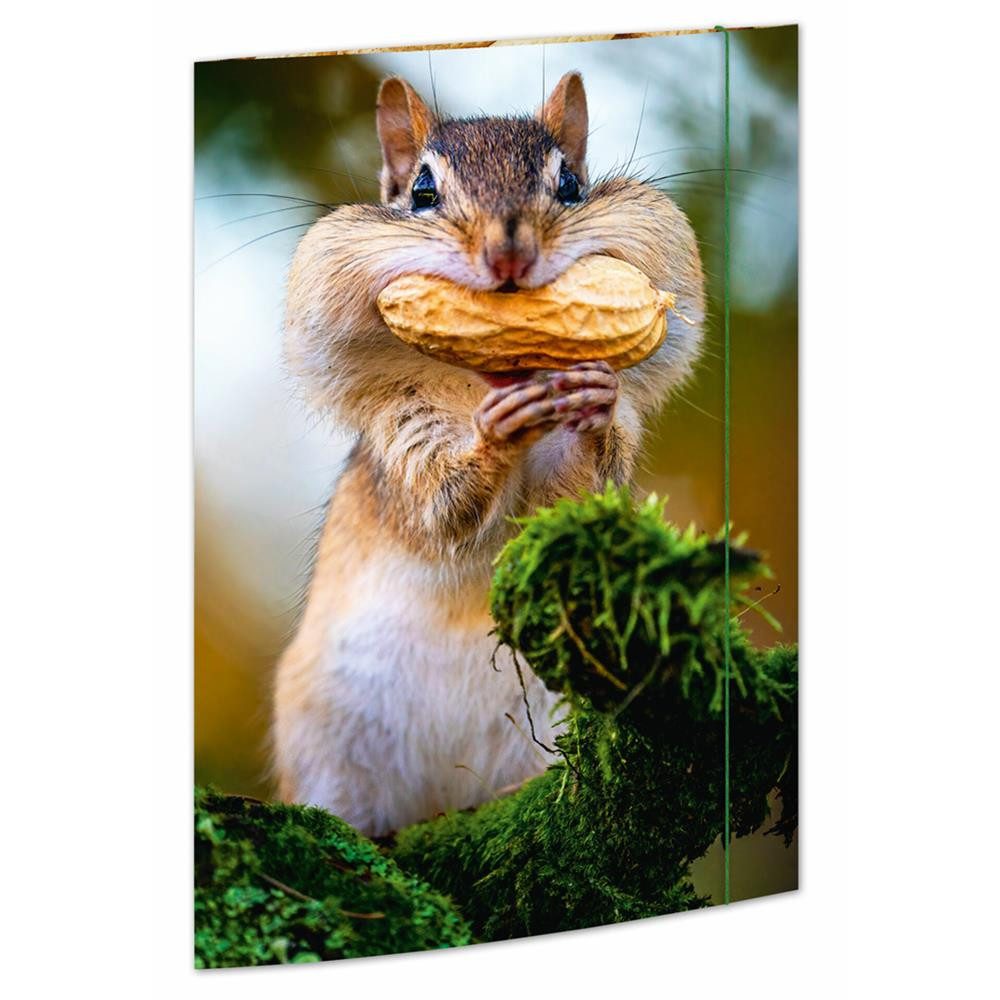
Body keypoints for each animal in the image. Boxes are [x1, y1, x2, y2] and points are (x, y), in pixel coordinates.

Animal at [273, 71, 705, 837]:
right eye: (421, 190)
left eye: (570, 183)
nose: (509, 256)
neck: (486, 379)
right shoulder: (401, 433)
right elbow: (442, 509)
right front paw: (495, 435)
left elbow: (577, 496)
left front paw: (593, 402)